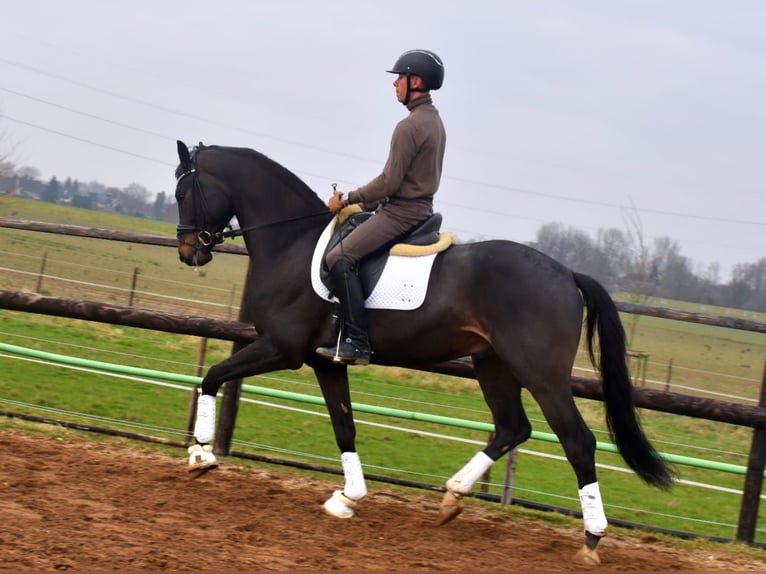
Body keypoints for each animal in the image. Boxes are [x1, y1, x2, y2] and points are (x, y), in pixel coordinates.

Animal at [176, 141, 680, 568]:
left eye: (184, 190)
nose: (188, 252)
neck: (292, 244)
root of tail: (566, 274)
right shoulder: (325, 360)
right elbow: (344, 426)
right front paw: (348, 497)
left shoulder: (284, 349)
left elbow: (214, 376)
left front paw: (201, 455)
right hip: (493, 365)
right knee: (512, 427)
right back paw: (453, 497)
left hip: (540, 374)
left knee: (577, 441)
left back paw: (592, 538)